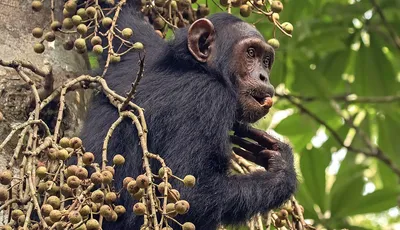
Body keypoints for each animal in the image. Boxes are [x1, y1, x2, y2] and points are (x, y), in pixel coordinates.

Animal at [81, 0, 298, 229]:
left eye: (266, 60)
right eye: (250, 53)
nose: (264, 76)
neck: (195, 68)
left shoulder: (140, 47)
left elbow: (110, 13)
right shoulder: (207, 99)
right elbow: (190, 194)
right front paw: (282, 168)